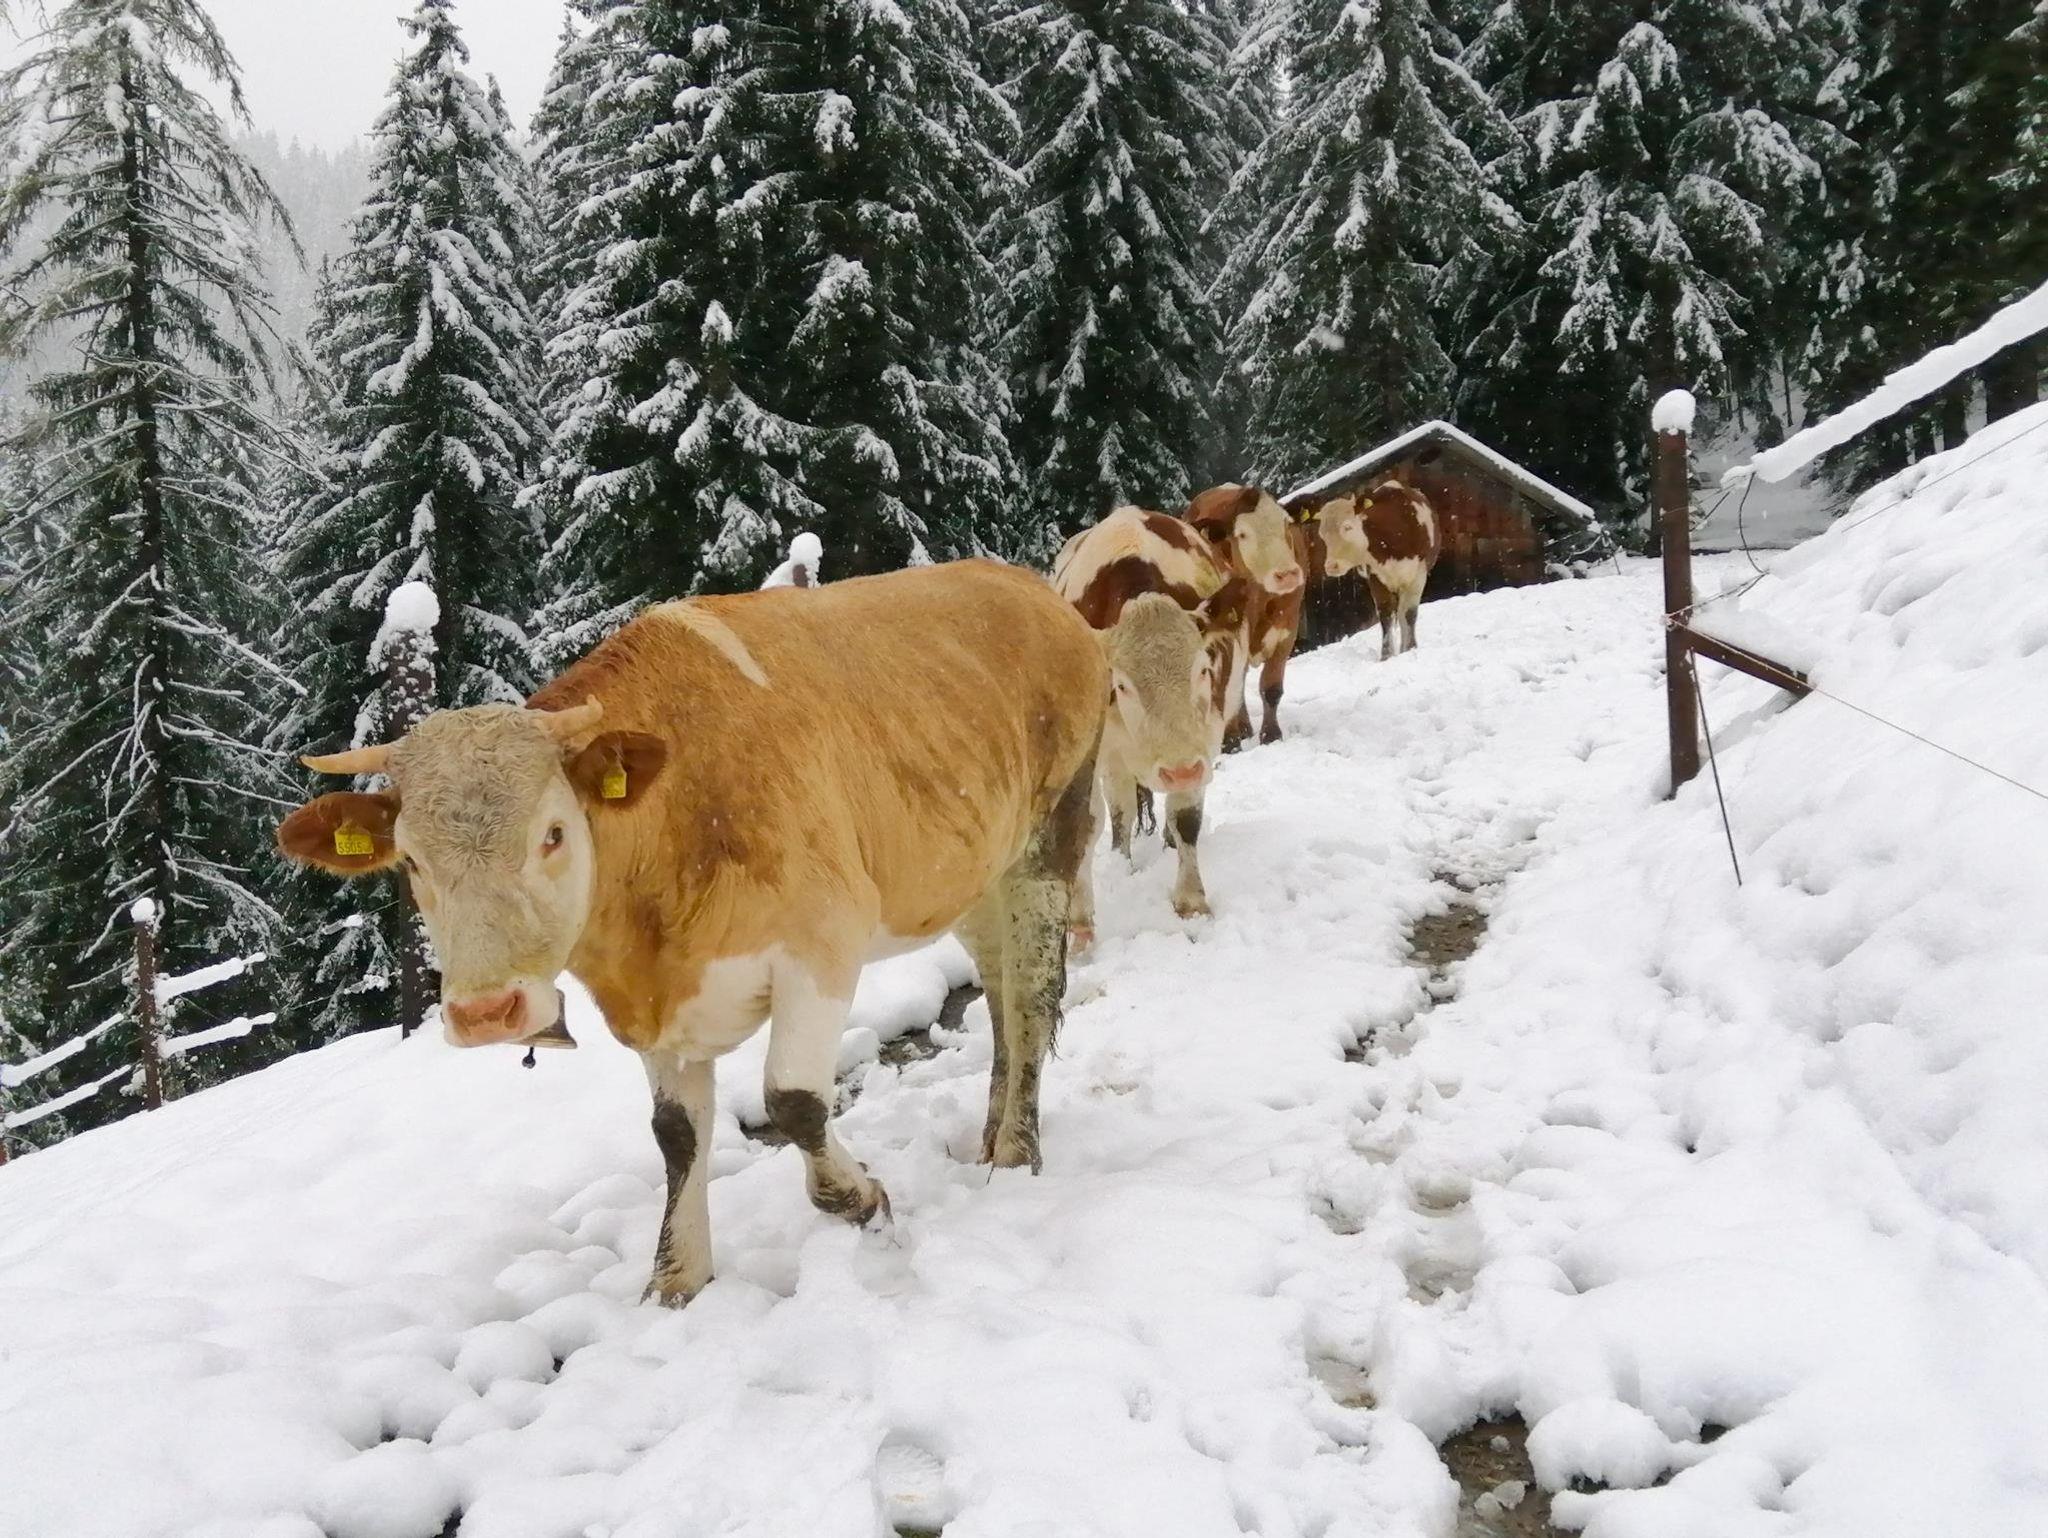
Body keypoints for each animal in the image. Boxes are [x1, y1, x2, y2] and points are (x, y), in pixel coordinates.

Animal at [275, 561, 1106, 1306]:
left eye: (552, 834)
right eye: (411, 859)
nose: (486, 1014)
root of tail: (1029, 586)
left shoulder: (821, 945)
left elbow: (793, 1100)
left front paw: (867, 1201)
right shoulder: (658, 1013)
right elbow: (675, 1134)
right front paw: (677, 1280)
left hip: (1050, 830)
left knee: (1032, 992)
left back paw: (1017, 1153)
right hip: (975, 870)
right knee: (999, 987)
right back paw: (992, 1135)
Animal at [1051, 505, 1249, 933]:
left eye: (1203, 669)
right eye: (1122, 685)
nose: (1180, 771)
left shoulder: (1203, 742)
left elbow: (1186, 818)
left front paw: (1191, 903)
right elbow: (1089, 824)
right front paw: (1080, 923)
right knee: (1122, 810)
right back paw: (1122, 862)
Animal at [1185, 485, 1308, 749]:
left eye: (1287, 523)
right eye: (1242, 534)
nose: (1287, 574)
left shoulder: (1287, 628)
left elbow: (1271, 687)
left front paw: (1271, 735)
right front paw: (1232, 738)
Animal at [1309, 477, 1441, 659]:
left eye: (1347, 527)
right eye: (1322, 535)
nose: (1331, 566)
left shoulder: (1418, 575)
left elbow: (1409, 614)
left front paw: (1411, 648)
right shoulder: (1375, 576)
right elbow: (1386, 615)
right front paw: (1386, 655)